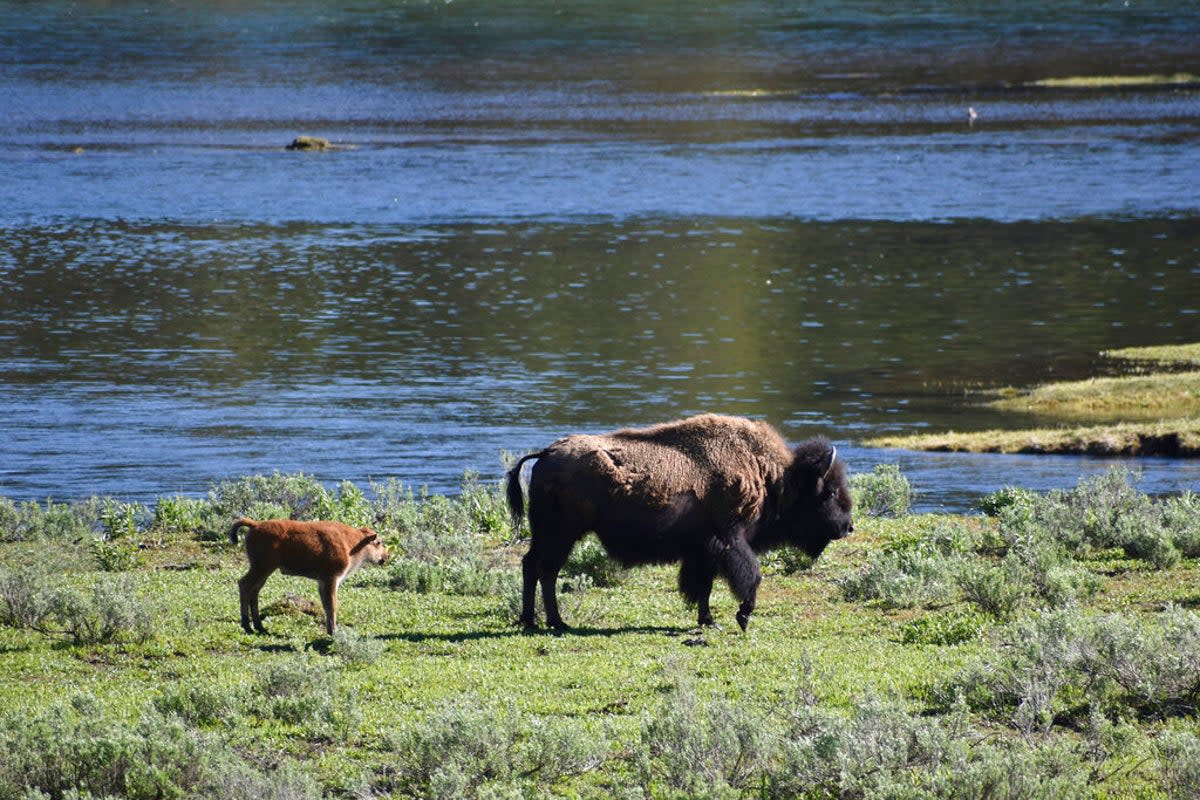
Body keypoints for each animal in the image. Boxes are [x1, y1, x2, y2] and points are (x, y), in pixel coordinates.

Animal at [228, 520, 388, 638]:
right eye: (378, 542)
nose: (386, 556)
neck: (354, 543)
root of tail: (255, 524)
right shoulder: (331, 579)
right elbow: (332, 605)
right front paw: (334, 632)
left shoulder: (322, 582)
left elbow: (326, 605)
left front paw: (330, 631)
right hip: (262, 568)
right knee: (244, 585)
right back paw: (248, 627)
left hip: (264, 571)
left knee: (254, 591)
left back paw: (260, 627)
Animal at [506, 412, 854, 633]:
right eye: (829, 492)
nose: (848, 527)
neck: (773, 477)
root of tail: (547, 453)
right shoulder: (730, 541)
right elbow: (749, 576)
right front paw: (742, 616)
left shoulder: (704, 550)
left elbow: (704, 586)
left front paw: (709, 621)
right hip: (561, 534)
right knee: (546, 570)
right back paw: (554, 622)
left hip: (549, 534)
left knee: (532, 566)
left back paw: (533, 620)